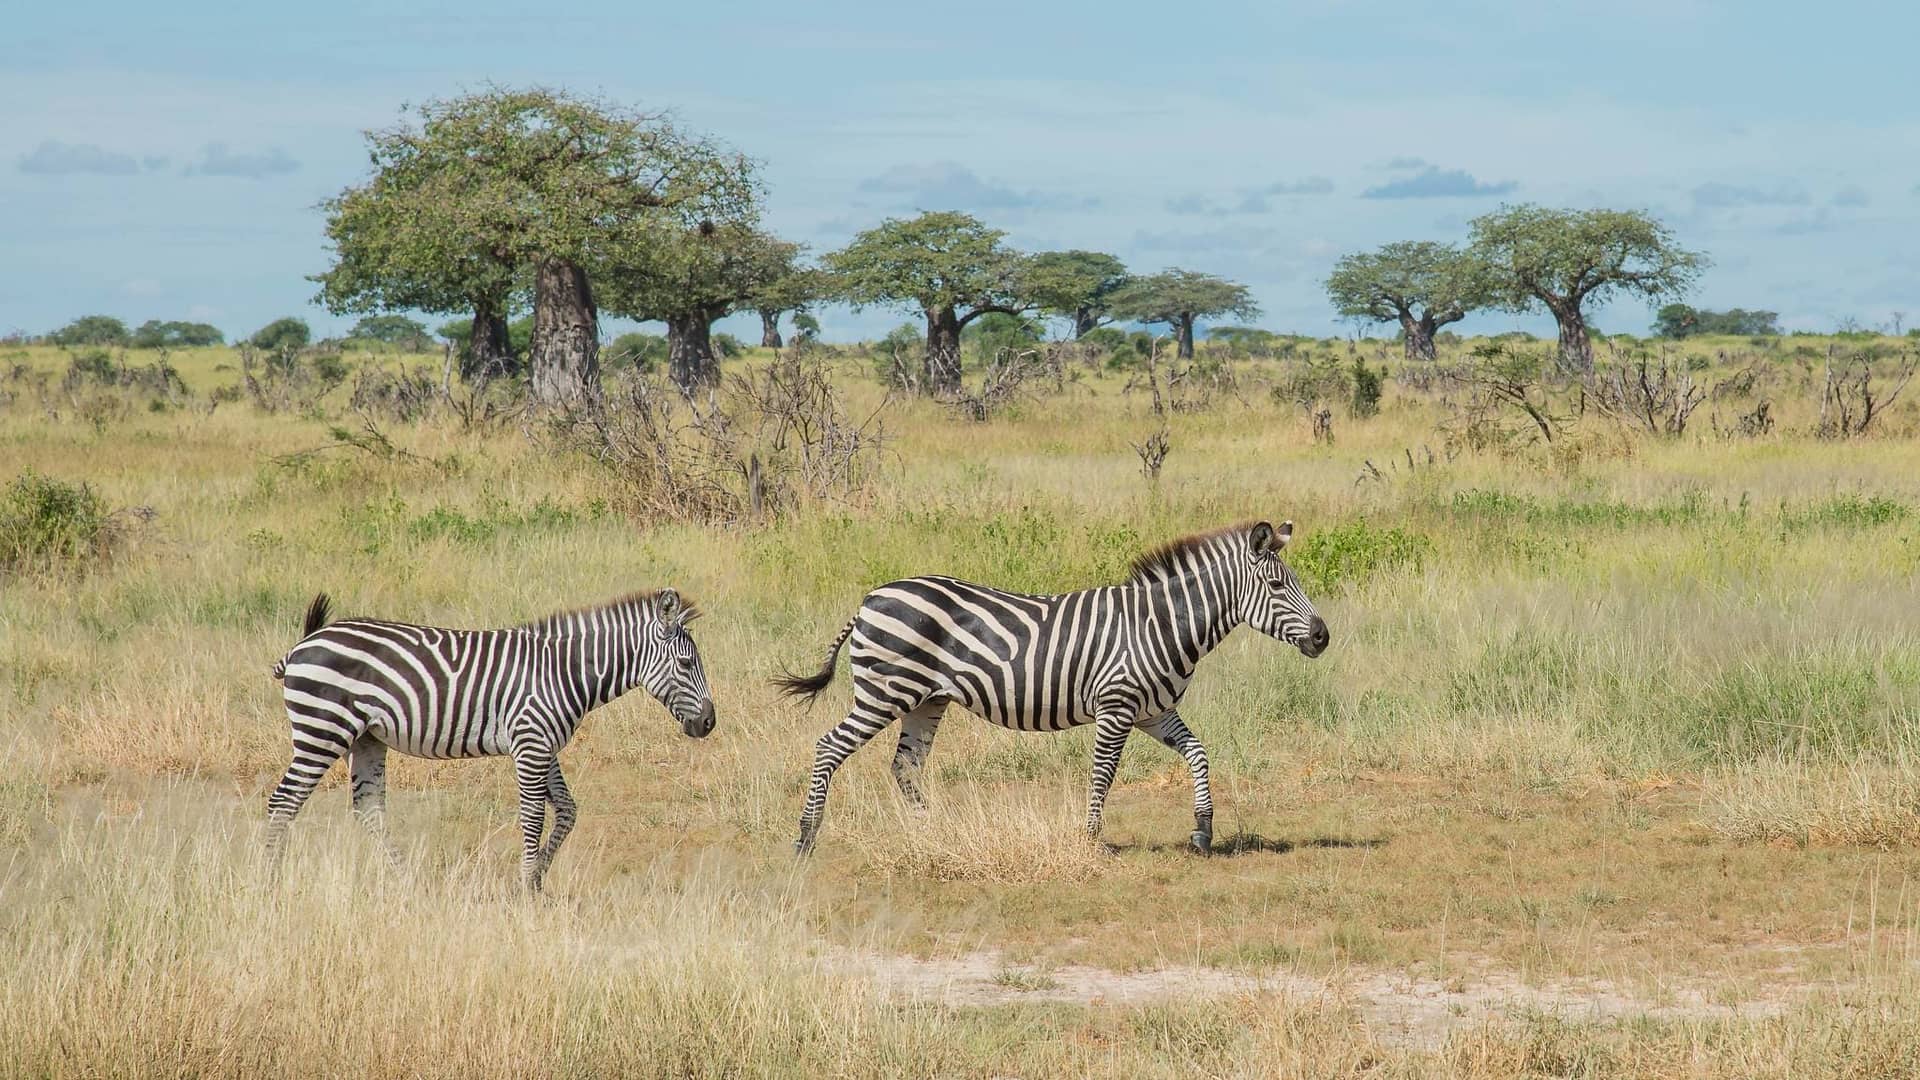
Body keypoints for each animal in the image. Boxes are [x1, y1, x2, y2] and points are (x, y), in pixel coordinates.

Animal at [265, 588, 715, 892]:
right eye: (687, 663)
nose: (709, 723)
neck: (564, 671)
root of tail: (304, 644)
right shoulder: (531, 743)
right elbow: (533, 816)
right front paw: (525, 886)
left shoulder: (543, 744)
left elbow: (567, 811)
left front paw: (536, 881)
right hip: (322, 729)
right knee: (284, 802)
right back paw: (270, 883)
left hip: (367, 738)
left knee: (369, 809)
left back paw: (408, 881)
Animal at [776, 520, 1329, 855]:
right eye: (1278, 587)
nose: (1323, 637)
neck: (1162, 624)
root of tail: (871, 597)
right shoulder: (1117, 706)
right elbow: (1104, 774)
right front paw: (1092, 840)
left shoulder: (1154, 711)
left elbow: (1198, 753)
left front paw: (1202, 831)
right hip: (884, 692)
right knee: (829, 746)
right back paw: (806, 838)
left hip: (926, 700)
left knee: (906, 766)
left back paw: (932, 830)